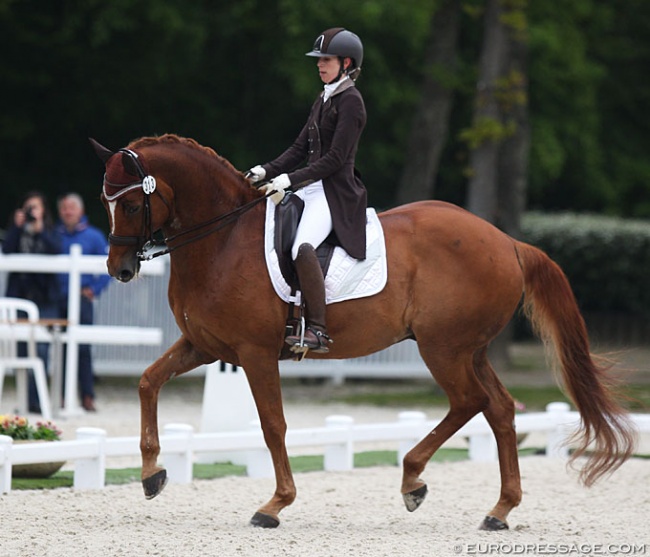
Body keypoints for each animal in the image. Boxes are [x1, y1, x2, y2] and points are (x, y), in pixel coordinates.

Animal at [92, 132, 632, 528]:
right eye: (105, 201)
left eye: (133, 205)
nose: (120, 269)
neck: (222, 239)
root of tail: (506, 241)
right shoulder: (204, 346)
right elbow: (148, 382)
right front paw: (151, 473)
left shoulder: (255, 352)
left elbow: (272, 425)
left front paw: (275, 504)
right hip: (471, 349)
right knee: (498, 408)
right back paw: (499, 510)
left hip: (444, 348)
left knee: (469, 402)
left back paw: (413, 480)